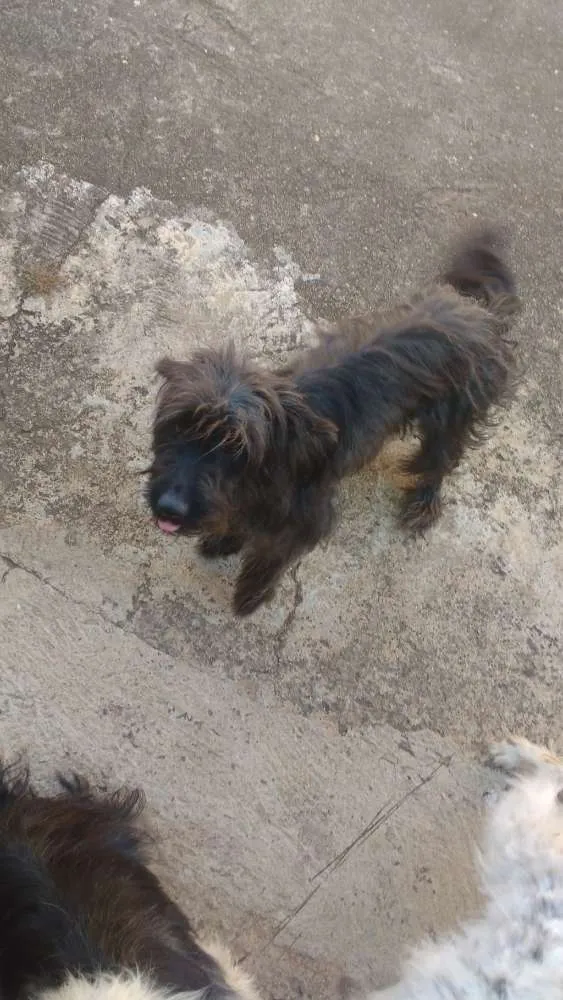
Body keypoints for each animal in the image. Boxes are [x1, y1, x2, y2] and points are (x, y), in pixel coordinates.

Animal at [147, 228, 519, 615]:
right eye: (177, 427)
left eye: (235, 448)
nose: (169, 509)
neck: (279, 452)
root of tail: (481, 314)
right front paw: (225, 539)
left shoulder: (305, 520)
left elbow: (269, 558)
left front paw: (250, 595)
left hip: (451, 420)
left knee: (440, 460)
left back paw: (423, 502)